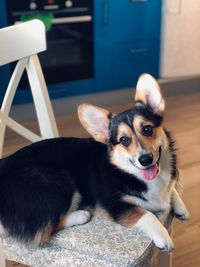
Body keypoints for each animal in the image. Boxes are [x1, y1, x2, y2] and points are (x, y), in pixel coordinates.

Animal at [0, 73, 189, 251]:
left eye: (148, 129)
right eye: (124, 140)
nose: (145, 159)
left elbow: (172, 190)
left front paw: (180, 207)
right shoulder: (116, 205)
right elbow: (146, 214)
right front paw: (163, 236)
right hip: (60, 178)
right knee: (45, 230)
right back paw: (80, 215)